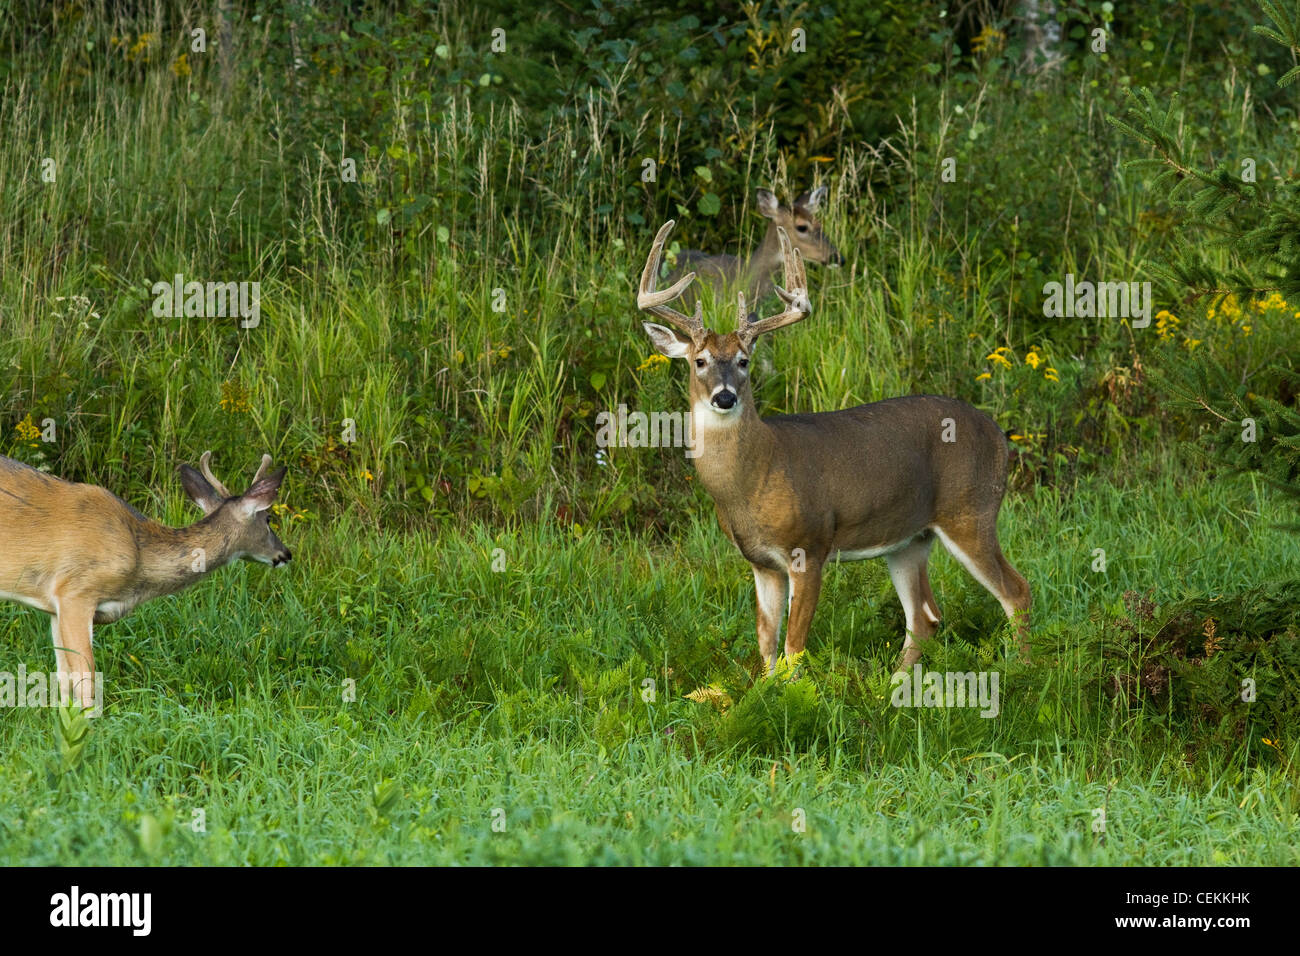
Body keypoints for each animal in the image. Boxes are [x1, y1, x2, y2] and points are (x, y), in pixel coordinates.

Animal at [0, 455, 289, 712]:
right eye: (268, 519)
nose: (286, 553)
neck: (139, 551)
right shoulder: (75, 591)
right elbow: (85, 677)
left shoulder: (54, 608)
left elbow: (63, 679)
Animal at [634, 221, 1029, 676]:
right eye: (699, 360)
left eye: (744, 360)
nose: (725, 396)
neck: (753, 479)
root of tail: (998, 435)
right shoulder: (761, 563)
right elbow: (766, 643)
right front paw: (764, 692)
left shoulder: (810, 547)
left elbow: (793, 648)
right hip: (910, 538)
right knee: (924, 616)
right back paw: (894, 687)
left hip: (971, 510)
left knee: (1016, 592)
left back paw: (1023, 671)